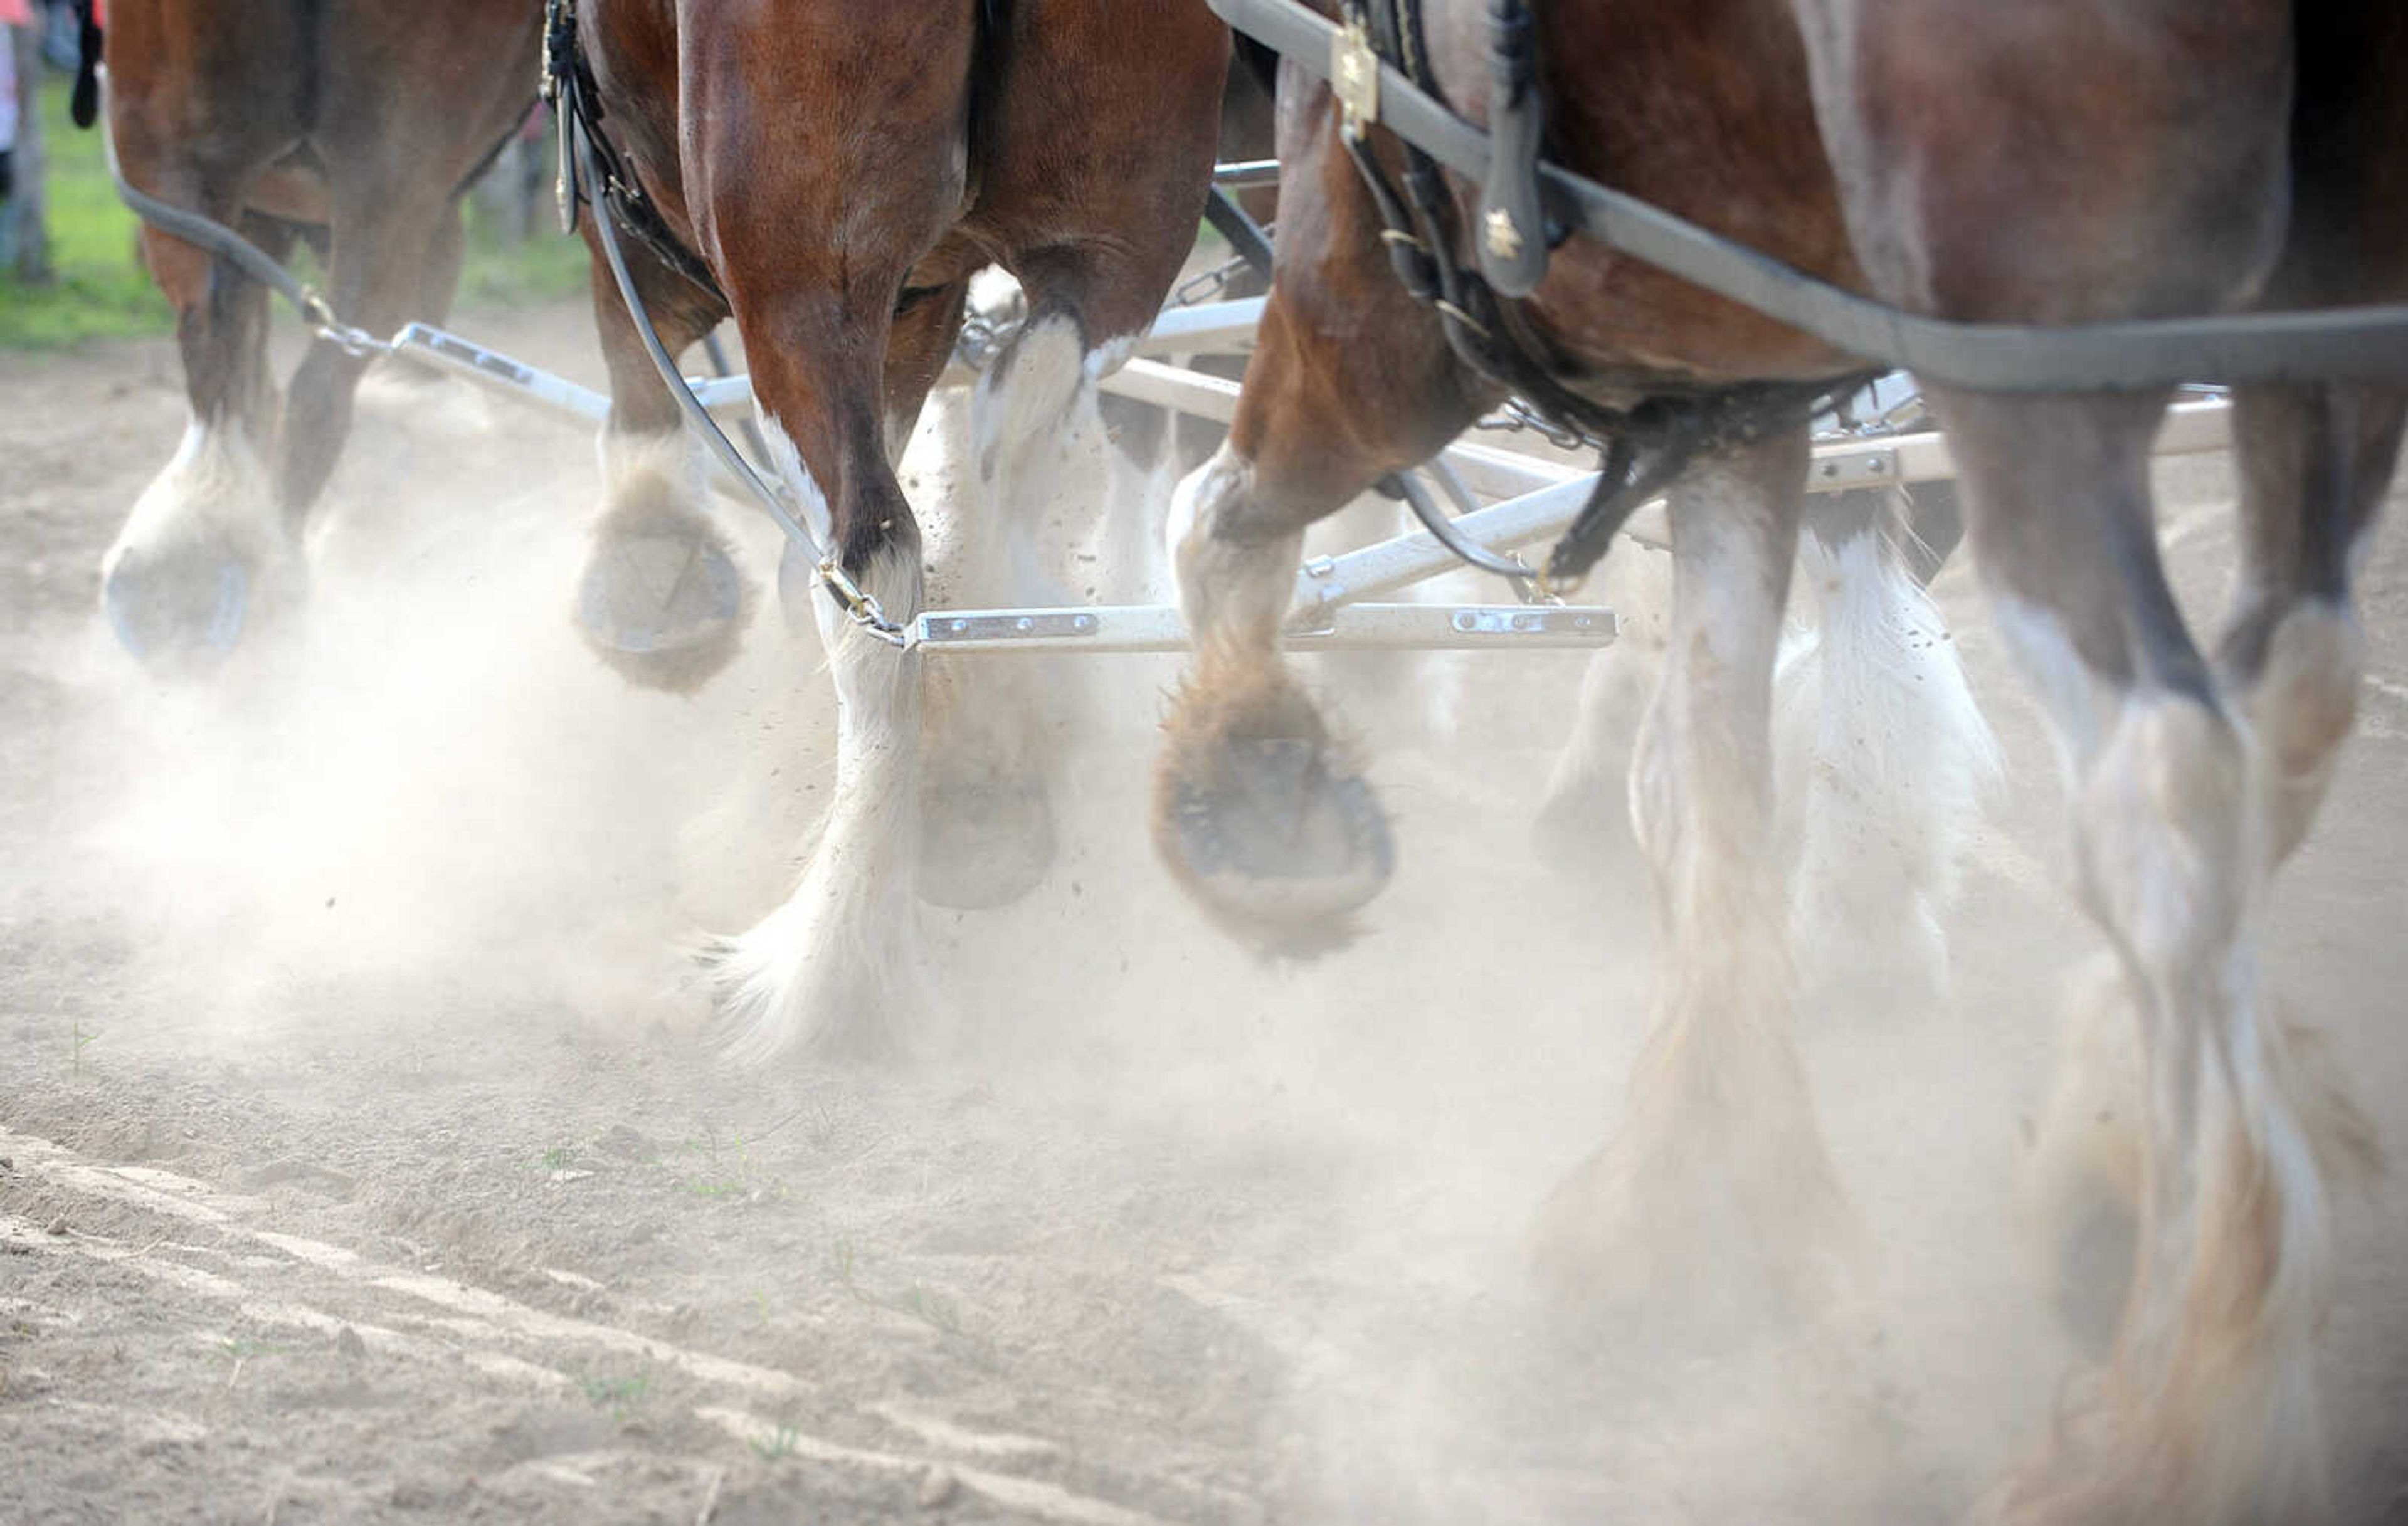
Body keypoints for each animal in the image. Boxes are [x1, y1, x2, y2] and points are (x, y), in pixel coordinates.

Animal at [571, 0, 1233, 1049]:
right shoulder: (929, 301)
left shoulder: (637, 231)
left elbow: (642, 407)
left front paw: (650, 576)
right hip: (1115, 236)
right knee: (1019, 426)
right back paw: (984, 776)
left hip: (801, 278)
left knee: (870, 574)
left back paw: (827, 962)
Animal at [1156, 6, 2398, 1511]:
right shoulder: (1732, 378)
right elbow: (1709, 772)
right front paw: (1707, 1188)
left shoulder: (1372, 260)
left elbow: (1221, 523)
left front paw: (1253, 786)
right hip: (2306, 341)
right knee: (2286, 704)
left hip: (2020, 364)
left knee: (2166, 796)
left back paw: (2179, 1409)